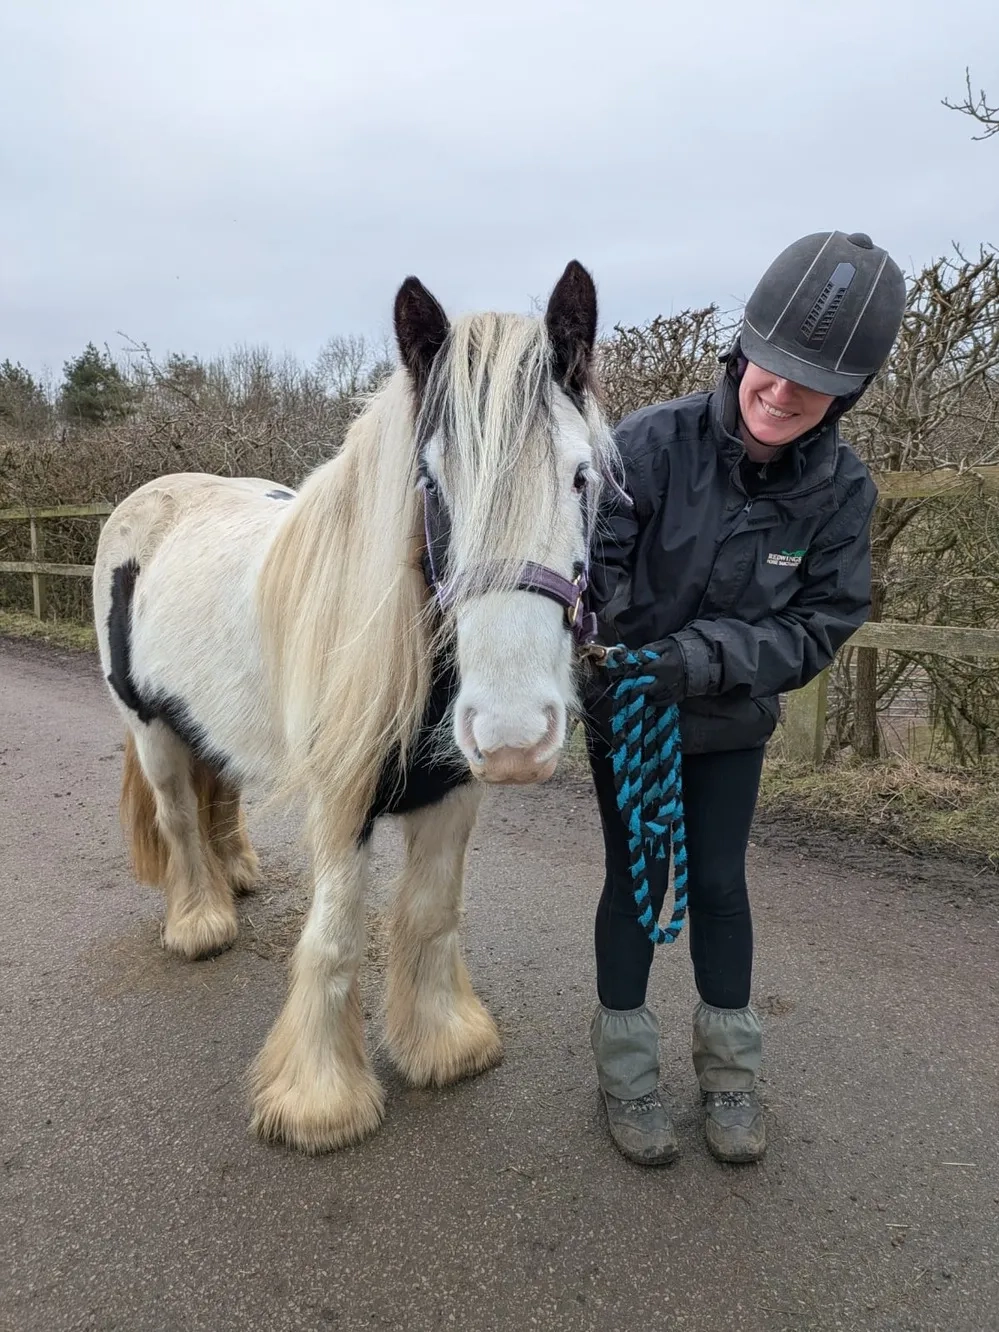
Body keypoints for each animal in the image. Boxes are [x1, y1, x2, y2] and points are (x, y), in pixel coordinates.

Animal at [92, 260, 618, 1153]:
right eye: (431, 483)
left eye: (579, 477)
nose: (515, 736)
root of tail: (150, 496)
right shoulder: (342, 806)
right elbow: (334, 939)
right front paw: (321, 1101)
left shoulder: (453, 795)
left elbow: (432, 915)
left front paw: (443, 1044)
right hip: (150, 724)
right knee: (178, 816)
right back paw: (201, 921)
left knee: (219, 790)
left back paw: (237, 875)